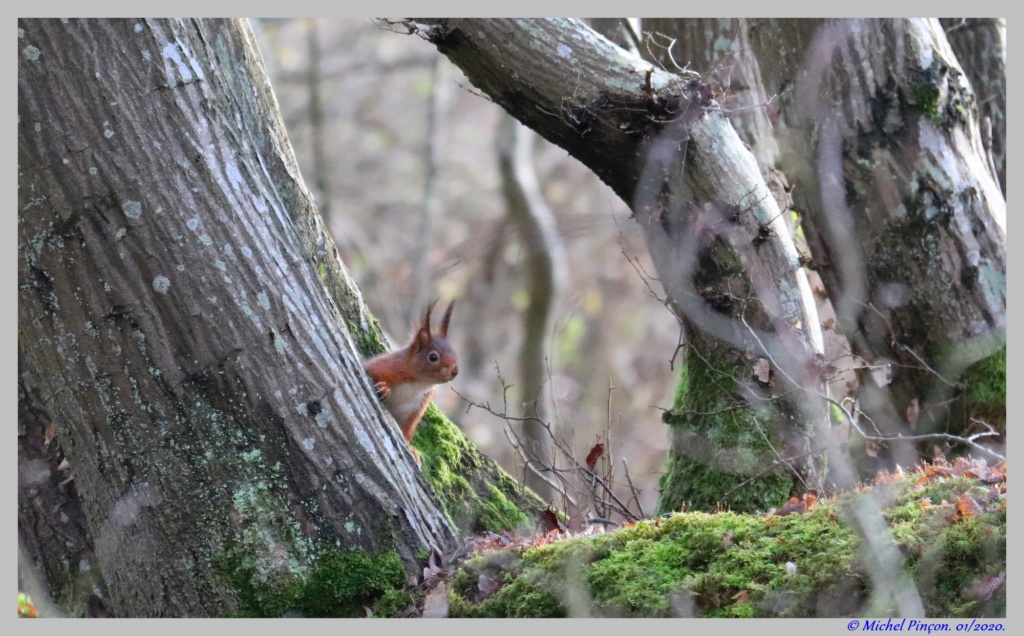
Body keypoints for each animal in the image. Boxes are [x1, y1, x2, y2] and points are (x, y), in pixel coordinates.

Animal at [360, 297, 456, 460]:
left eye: (455, 353)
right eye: (433, 357)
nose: (455, 371)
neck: (419, 383)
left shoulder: (416, 408)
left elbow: (407, 429)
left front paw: (411, 450)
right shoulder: (388, 366)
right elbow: (372, 371)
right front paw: (383, 389)